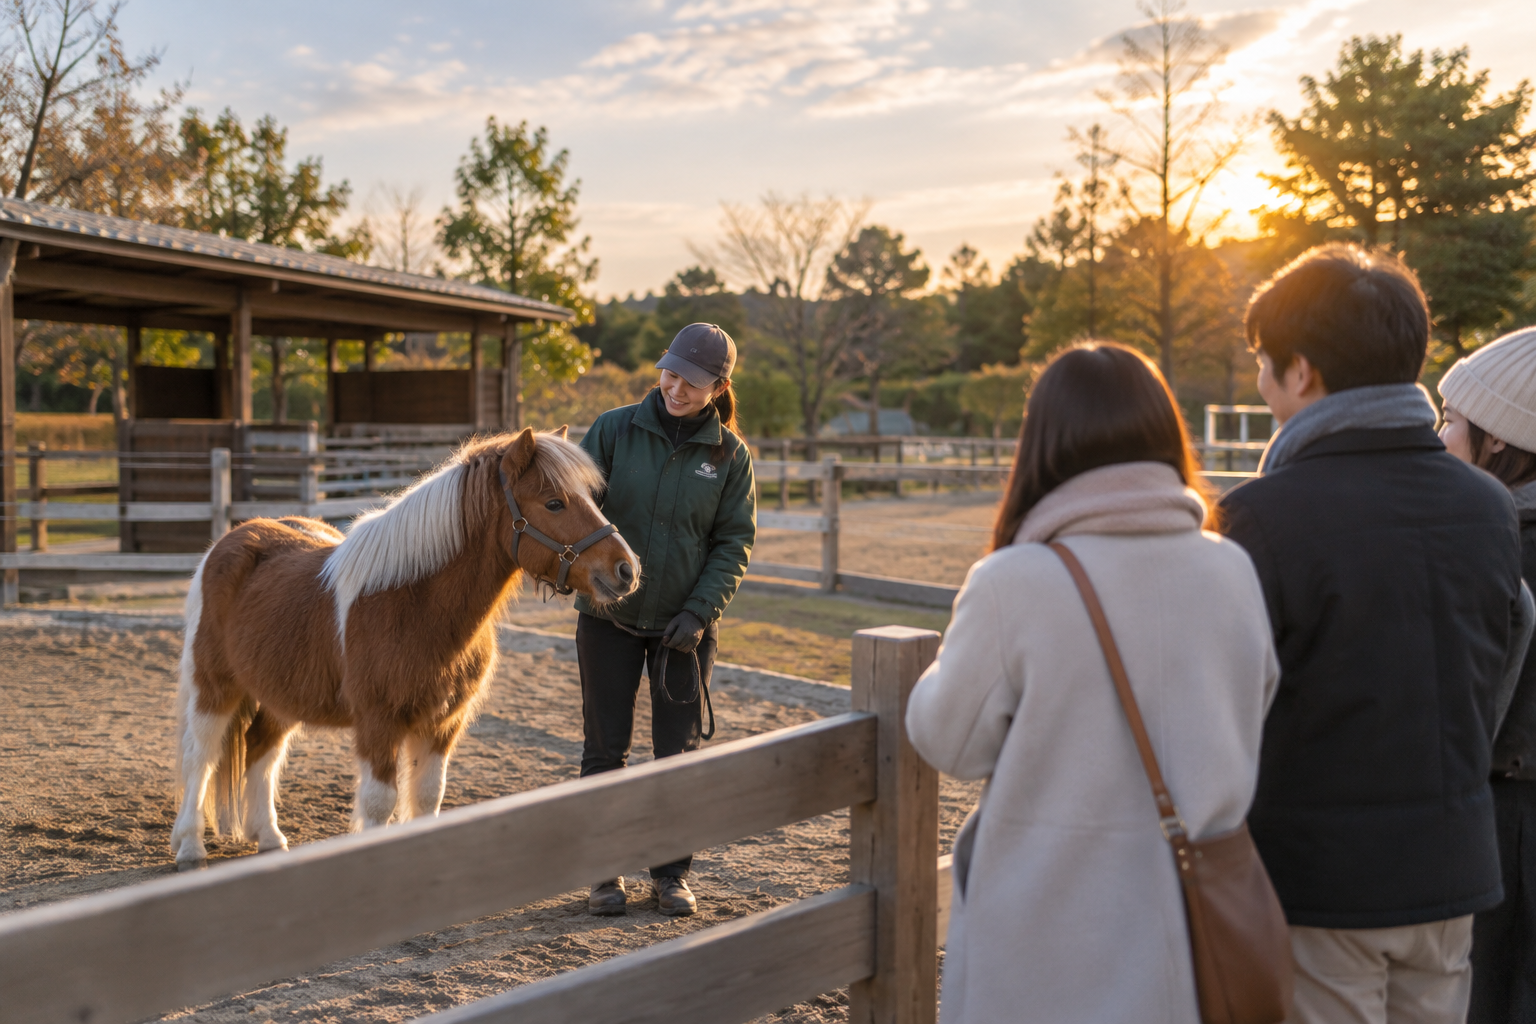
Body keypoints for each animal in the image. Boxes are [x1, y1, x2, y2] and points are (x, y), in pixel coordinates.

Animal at [170, 427, 639, 870]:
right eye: (554, 503)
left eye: (591, 497)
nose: (627, 570)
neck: (413, 604)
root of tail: (230, 541)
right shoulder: (379, 723)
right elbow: (380, 803)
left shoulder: (442, 724)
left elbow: (429, 796)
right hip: (214, 686)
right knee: (200, 756)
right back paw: (190, 847)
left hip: (282, 694)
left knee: (260, 750)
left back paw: (269, 838)